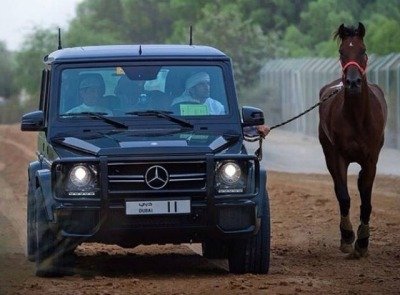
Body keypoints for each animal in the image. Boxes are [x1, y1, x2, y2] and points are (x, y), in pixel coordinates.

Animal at [318, 23, 386, 258]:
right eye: (341, 52)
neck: (357, 118)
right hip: (328, 152)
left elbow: (366, 199)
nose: (353, 82)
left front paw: (363, 242)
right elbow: (344, 196)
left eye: (363, 50)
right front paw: (348, 238)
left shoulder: (371, 159)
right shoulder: (338, 157)